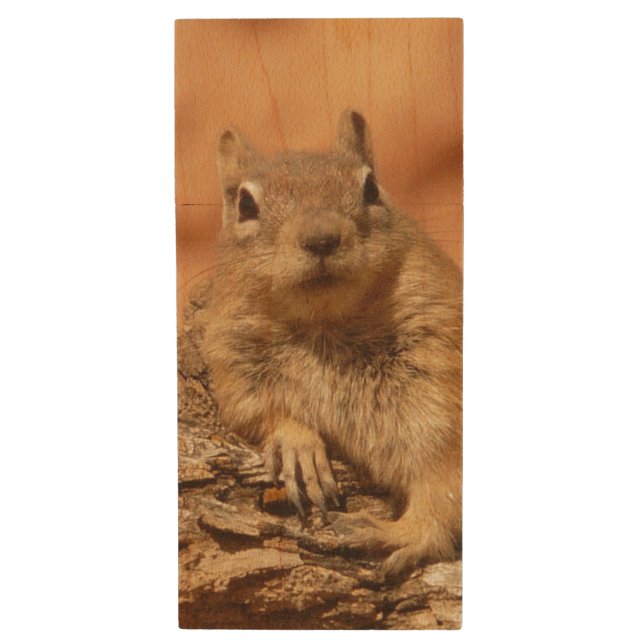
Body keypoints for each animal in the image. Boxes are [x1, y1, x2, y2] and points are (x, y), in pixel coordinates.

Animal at [203, 110, 462, 578]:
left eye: (371, 187)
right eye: (245, 204)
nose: (321, 238)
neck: (324, 324)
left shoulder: (441, 380)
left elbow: (442, 486)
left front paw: (403, 533)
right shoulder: (234, 364)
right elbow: (258, 412)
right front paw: (298, 445)